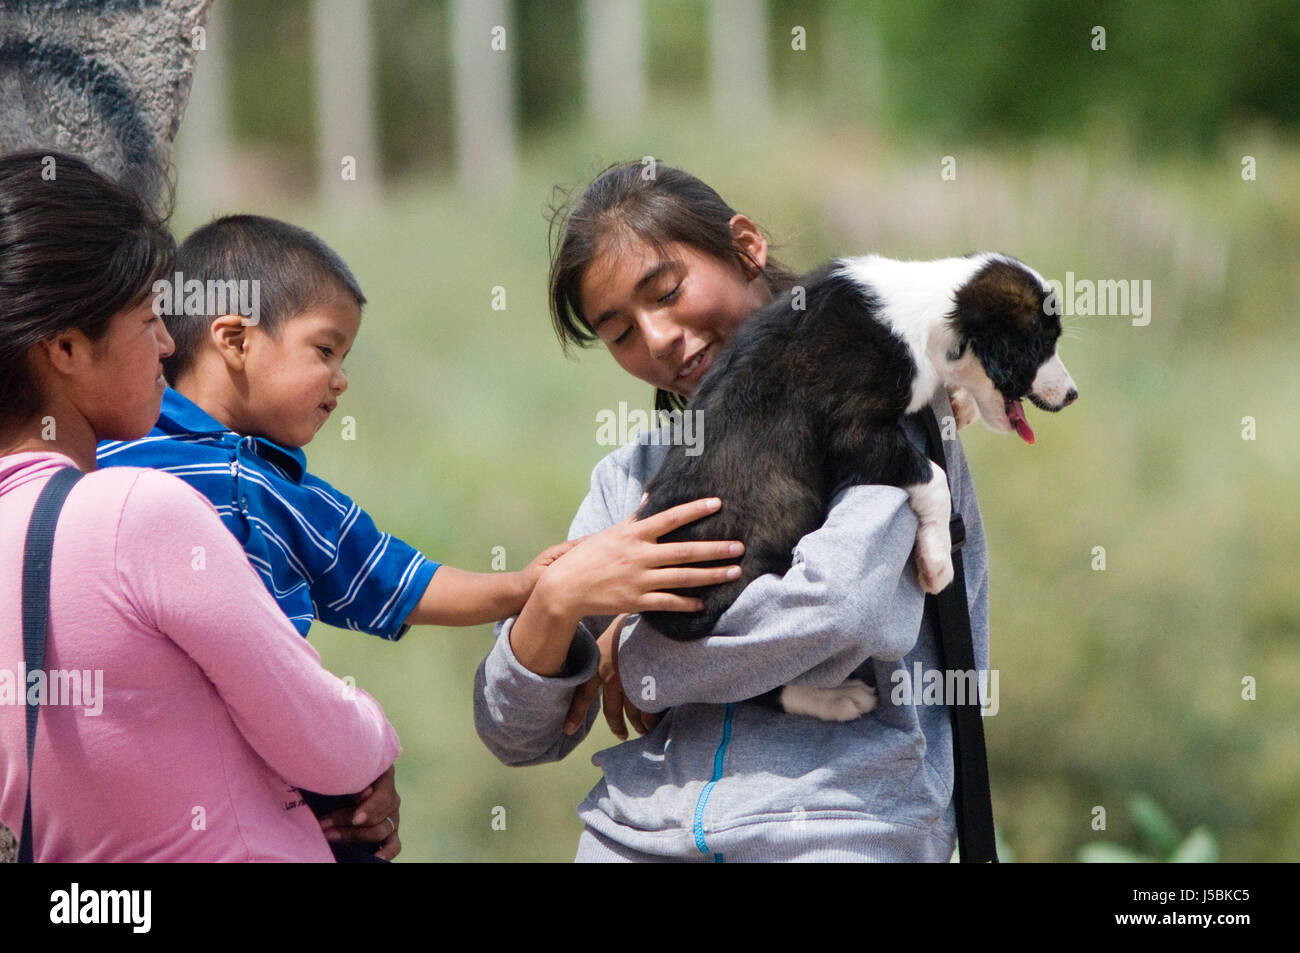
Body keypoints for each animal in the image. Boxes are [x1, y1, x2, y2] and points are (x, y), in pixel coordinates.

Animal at [637, 252, 1076, 712]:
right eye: (1043, 343)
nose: (1072, 395)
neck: (927, 317)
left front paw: (961, 403)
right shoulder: (853, 433)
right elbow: (933, 477)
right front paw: (936, 561)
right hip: (776, 523)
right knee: (750, 678)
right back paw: (834, 699)